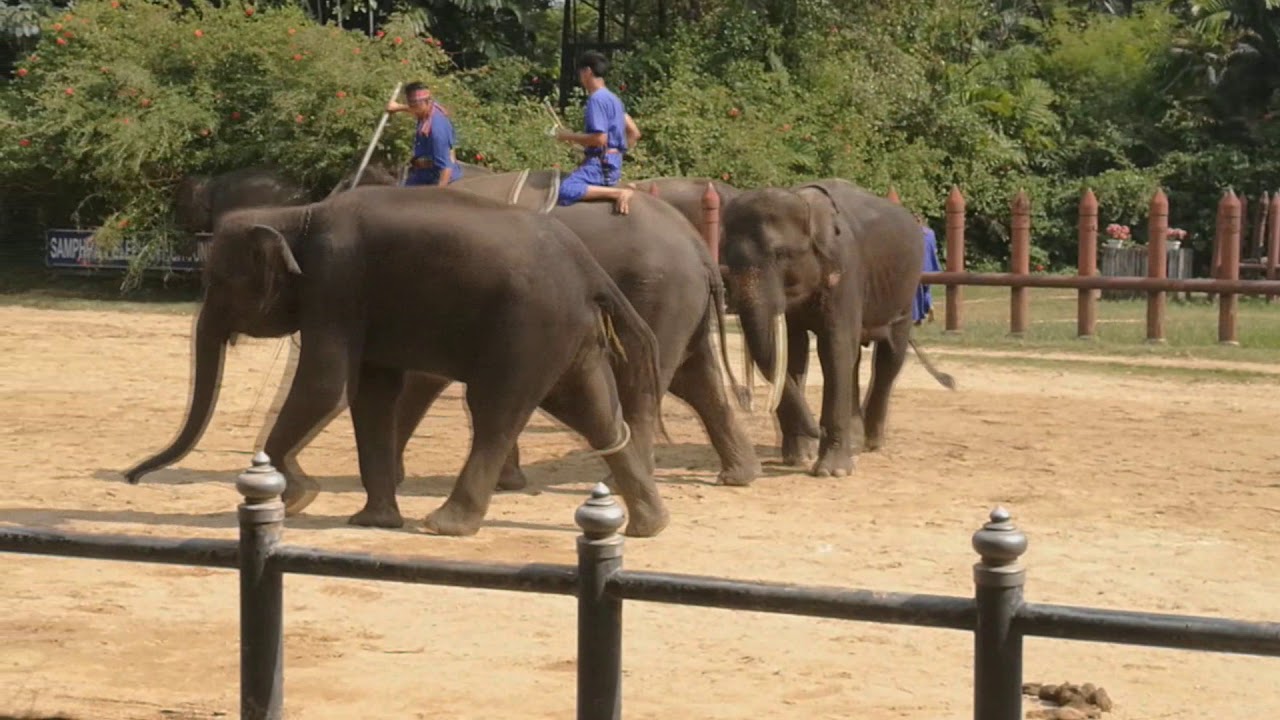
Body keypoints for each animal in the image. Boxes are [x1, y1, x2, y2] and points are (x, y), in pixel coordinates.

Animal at [122, 184, 673, 538]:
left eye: (218, 282)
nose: (131, 478)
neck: (296, 216)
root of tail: (590, 269)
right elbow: (370, 395)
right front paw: (371, 520)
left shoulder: (336, 282)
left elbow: (326, 386)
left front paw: (298, 494)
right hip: (567, 335)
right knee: (595, 414)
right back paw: (649, 525)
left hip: (530, 328)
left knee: (496, 412)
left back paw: (443, 526)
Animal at [718, 178, 955, 477]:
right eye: (726, 258)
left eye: (781, 254)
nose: (816, 430)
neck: (805, 202)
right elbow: (794, 352)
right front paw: (799, 458)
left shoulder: (846, 270)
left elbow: (834, 347)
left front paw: (831, 471)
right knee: (854, 359)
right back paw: (855, 442)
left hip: (905, 292)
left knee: (889, 358)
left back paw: (872, 443)